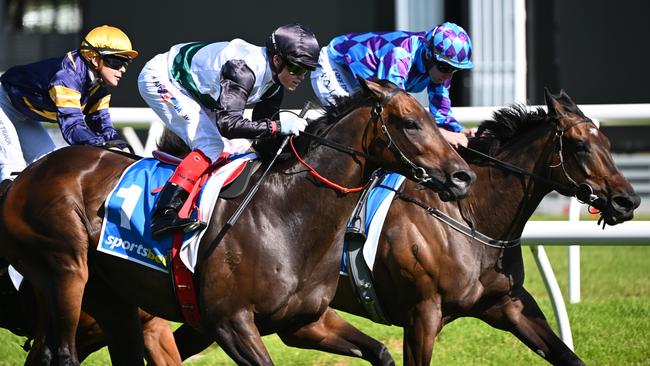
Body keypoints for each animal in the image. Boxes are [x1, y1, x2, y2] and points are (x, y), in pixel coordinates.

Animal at [1, 78, 476, 364]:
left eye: (431, 117)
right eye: (410, 122)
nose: (462, 175)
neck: (289, 216)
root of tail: (27, 176)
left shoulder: (304, 322)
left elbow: (381, 352)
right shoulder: (231, 322)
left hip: (114, 303)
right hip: (64, 271)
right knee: (61, 351)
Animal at [170, 88, 640, 364]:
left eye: (608, 142)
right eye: (579, 146)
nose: (628, 200)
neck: (470, 218)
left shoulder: (507, 304)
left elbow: (569, 357)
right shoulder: (422, 314)